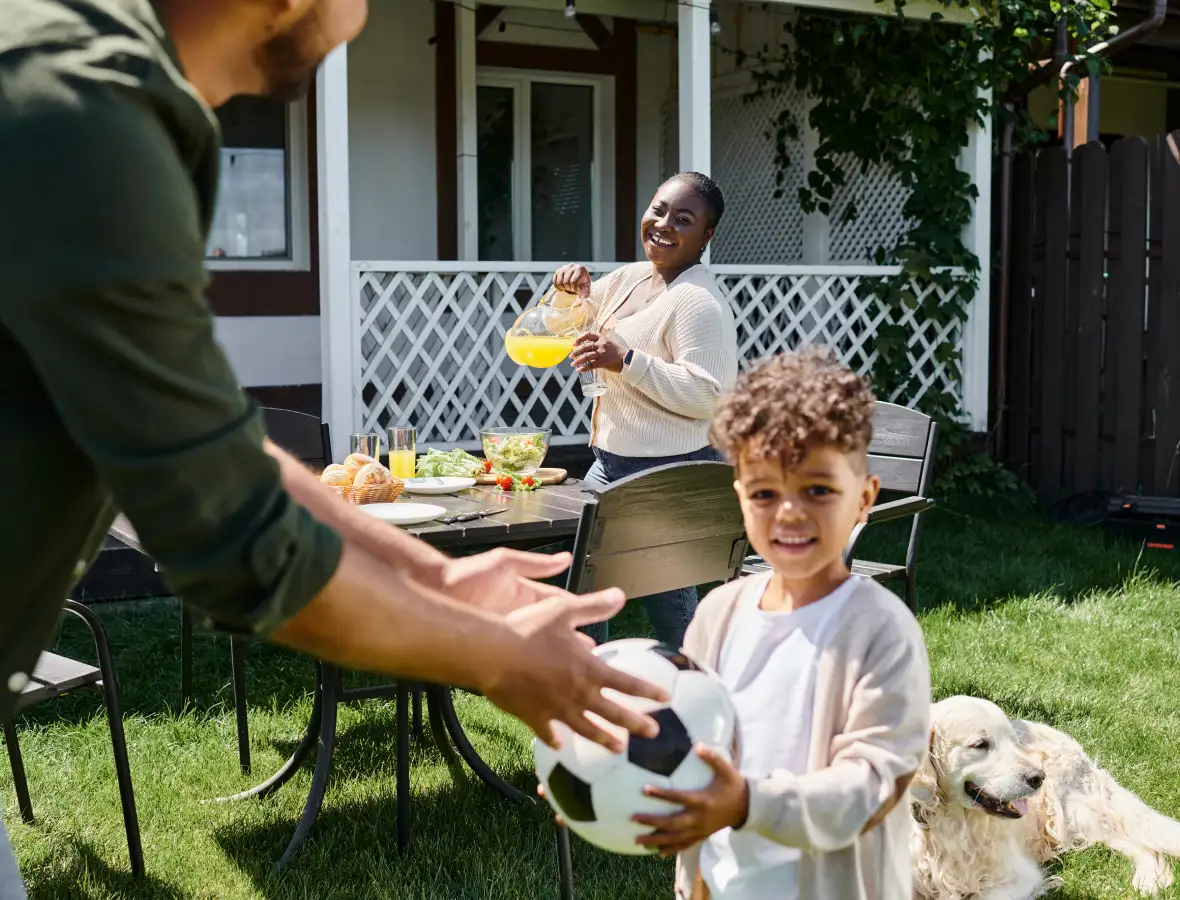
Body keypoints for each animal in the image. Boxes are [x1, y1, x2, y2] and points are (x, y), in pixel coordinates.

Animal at [910, 693, 1180, 896]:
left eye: (1013, 741)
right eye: (980, 744)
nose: (1038, 777)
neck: (945, 823)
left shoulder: (1020, 875)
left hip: (1074, 815)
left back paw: (1147, 881)